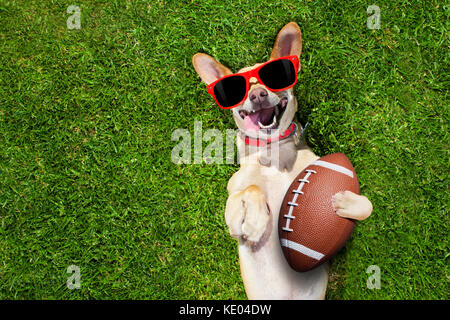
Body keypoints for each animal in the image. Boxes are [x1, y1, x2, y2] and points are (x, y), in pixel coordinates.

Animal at [192, 22, 372, 300]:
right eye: (239, 89)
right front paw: (256, 223)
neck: (273, 152)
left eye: (273, 77)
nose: (257, 94)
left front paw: (347, 202)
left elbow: (368, 205)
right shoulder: (232, 216)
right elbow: (251, 189)